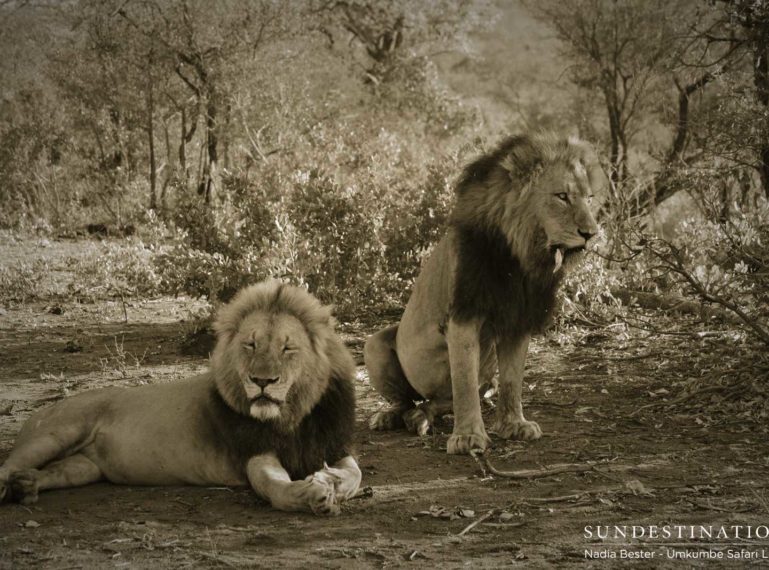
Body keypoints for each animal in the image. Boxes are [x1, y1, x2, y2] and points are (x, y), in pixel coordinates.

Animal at [0, 280, 360, 516]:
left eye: (287, 348)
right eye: (251, 344)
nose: (261, 381)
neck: (292, 417)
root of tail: (43, 409)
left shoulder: (335, 446)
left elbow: (355, 475)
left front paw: (328, 478)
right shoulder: (254, 453)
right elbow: (274, 487)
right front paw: (310, 493)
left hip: (84, 466)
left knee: (56, 470)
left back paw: (26, 485)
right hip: (54, 433)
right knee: (7, 465)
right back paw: (9, 486)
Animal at [364, 132, 604, 452]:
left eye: (589, 199)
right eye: (561, 197)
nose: (591, 234)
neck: (519, 257)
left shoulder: (518, 319)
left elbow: (512, 381)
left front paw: (514, 425)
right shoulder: (463, 316)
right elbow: (464, 382)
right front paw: (468, 436)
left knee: (440, 401)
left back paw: (420, 417)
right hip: (373, 345)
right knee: (407, 400)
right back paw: (391, 416)